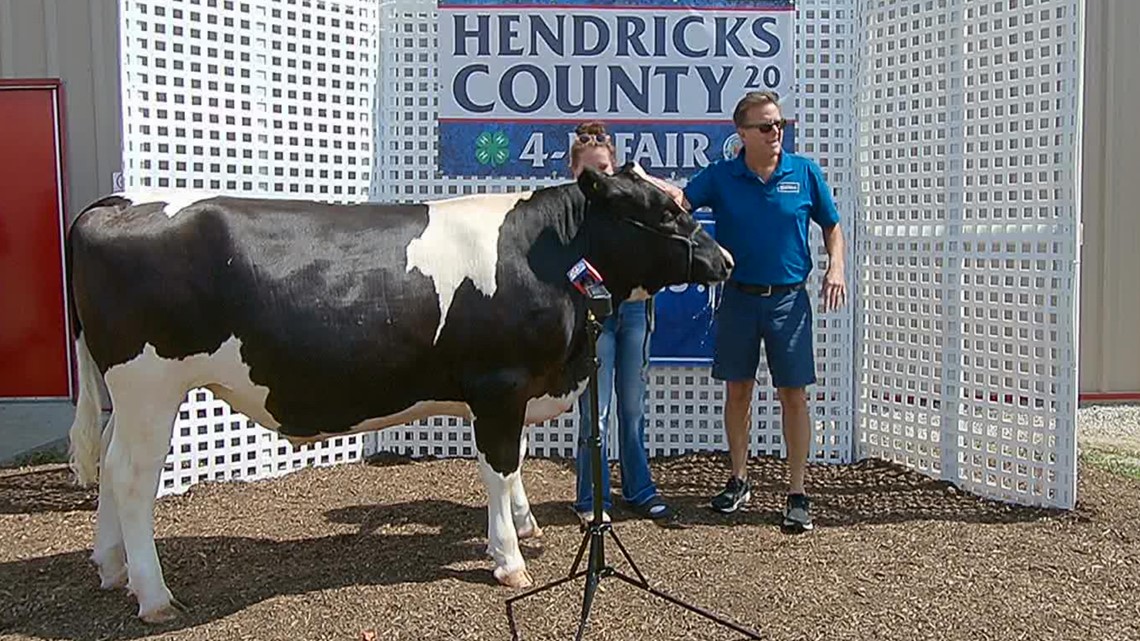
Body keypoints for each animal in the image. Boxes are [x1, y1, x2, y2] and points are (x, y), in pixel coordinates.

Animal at [64, 161, 729, 620]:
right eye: (663, 212)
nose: (723, 259)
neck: (545, 251)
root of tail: (111, 203)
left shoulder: (509, 394)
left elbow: (512, 463)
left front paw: (526, 528)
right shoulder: (499, 384)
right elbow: (498, 466)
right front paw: (509, 559)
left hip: (130, 393)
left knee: (110, 461)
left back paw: (112, 569)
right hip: (150, 383)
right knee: (130, 475)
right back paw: (154, 596)